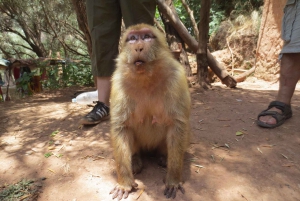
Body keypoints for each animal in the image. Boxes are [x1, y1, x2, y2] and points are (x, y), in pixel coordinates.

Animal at [109, 23, 191, 199]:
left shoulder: (177, 78)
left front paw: (173, 180)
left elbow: (177, 125)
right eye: (132, 38)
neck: (145, 78)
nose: (138, 47)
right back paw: (135, 159)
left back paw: (163, 157)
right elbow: (121, 127)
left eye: (146, 37)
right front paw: (124, 183)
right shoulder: (118, 82)